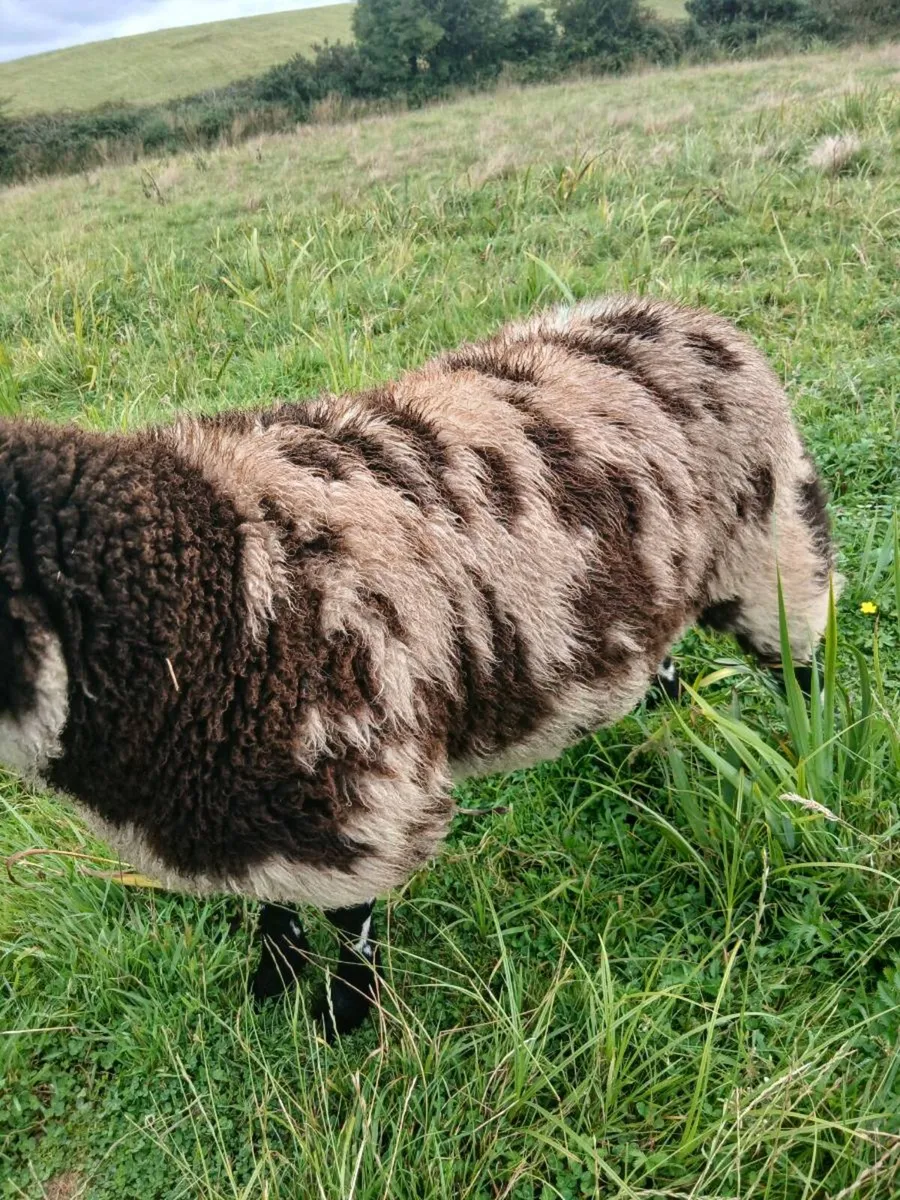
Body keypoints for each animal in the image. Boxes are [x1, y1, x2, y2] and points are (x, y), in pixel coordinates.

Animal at [0, 295, 838, 1036]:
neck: (211, 585)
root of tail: (688, 316)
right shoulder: (259, 797)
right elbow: (273, 902)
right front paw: (273, 977)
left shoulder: (361, 788)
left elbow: (350, 919)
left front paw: (344, 1014)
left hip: (773, 544)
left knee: (803, 665)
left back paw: (815, 763)